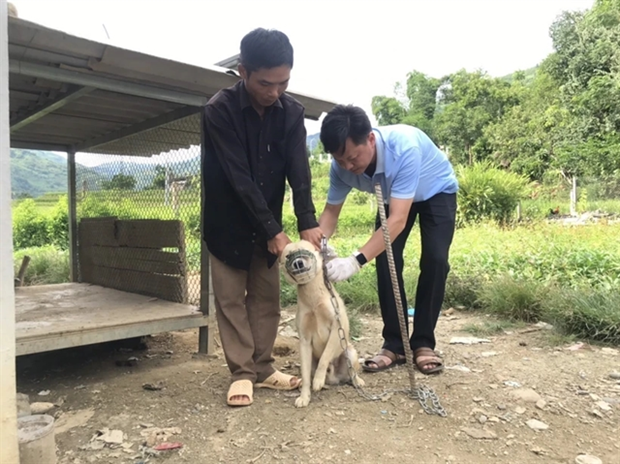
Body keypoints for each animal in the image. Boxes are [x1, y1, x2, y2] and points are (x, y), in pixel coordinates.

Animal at [280, 241, 366, 408]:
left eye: (305, 251)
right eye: (288, 256)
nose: (298, 263)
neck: (313, 299)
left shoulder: (336, 329)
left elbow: (325, 357)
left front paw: (318, 380)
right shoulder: (304, 341)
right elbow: (306, 377)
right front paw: (304, 396)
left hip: (349, 352)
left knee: (352, 372)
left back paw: (357, 381)